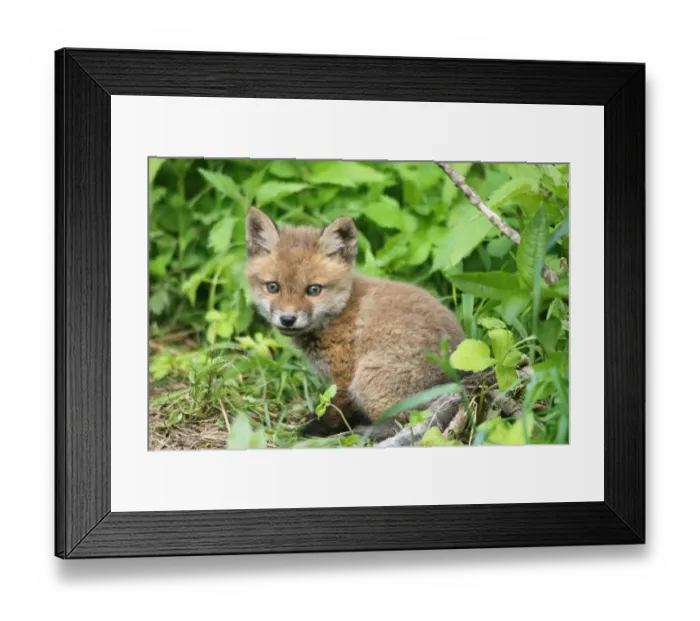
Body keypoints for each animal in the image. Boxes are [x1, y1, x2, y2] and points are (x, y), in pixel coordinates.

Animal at [244, 206, 465, 441]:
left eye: (314, 289)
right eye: (273, 287)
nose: (287, 319)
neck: (339, 313)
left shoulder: (344, 375)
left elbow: (334, 411)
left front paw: (314, 431)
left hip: (368, 380)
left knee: (404, 422)